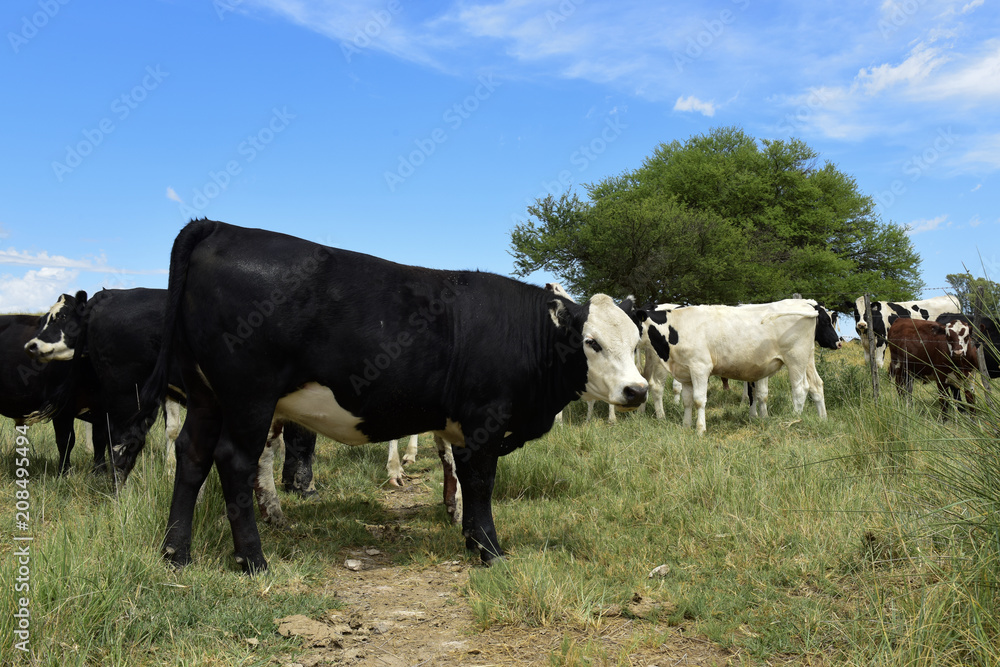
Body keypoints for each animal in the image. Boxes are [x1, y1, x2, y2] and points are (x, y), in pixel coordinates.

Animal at [137, 220, 644, 576]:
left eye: (637, 341)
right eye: (591, 343)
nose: (636, 390)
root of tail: (218, 226)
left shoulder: (461, 426)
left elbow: (462, 477)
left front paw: (470, 540)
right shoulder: (485, 420)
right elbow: (481, 483)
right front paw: (491, 552)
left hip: (207, 397)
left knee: (191, 455)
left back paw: (176, 555)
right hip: (249, 398)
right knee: (234, 461)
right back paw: (253, 561)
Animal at [640, 300, 836, 436]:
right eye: (826, 322)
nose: (838, 341)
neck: (678, 325)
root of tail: (808, 305)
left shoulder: (700, 367)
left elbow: (699, 400)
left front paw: (700, 430)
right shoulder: (685, 371)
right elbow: (687, 401)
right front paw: (686, 426)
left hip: (796, 358)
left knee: (800, 389)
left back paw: (792, 420)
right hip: (808, 358)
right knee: (816, 385)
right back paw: (823, 419)